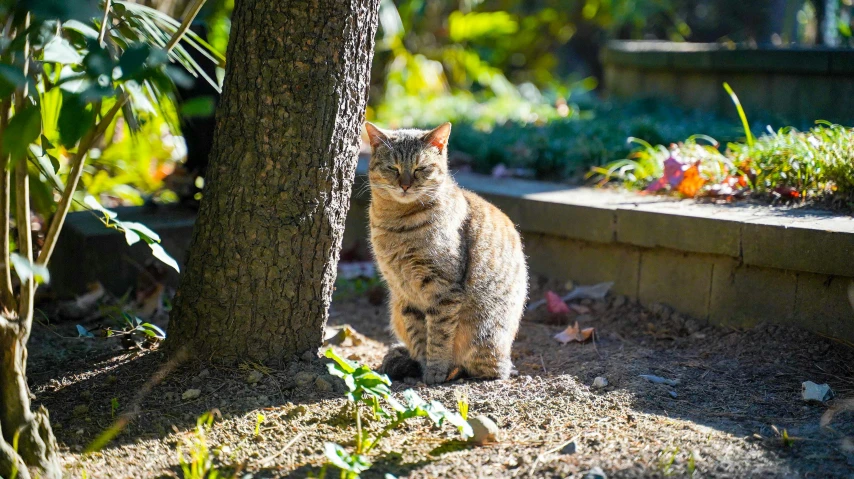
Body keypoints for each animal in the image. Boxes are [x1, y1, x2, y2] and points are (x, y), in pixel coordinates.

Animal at [366, 122, 528, 384]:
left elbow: (439, 336)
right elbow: (419, 335)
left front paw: (434, 370)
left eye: (420, 168)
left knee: (486, 369)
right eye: (392, 167)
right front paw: (422, 365)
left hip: (484, 331)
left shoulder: (443, 290)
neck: (396, 224)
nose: (405, 185)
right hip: (396, 308)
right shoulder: (404, 293)